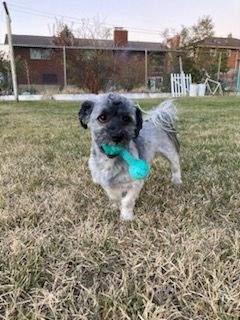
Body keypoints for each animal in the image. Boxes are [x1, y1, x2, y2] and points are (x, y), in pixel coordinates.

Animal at [79, 91, 182, 219]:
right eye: (102, 117)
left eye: (126, 118)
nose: (117, 136)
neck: (110, 162)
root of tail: (154, 121)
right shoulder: (105, 183)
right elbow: (113, 196)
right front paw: (115, 206)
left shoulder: (134, 184)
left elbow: (127, 200)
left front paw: (126, 216)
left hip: (169, 152)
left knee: (175, 166)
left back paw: (177, 180)